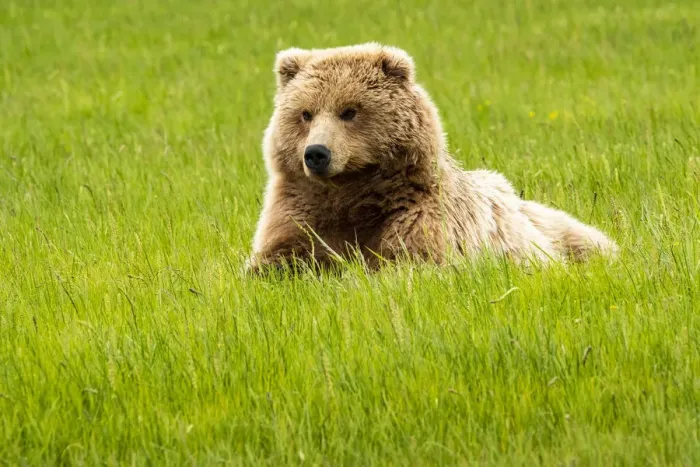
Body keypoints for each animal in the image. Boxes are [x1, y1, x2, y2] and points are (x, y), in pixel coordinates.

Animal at [248, 43, 617, 272]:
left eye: (349, 111)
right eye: (305, 113)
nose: (316, 153)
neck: (352, 193)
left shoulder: (421, 217)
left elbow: (411, 262)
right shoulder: (301, 211)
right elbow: (278, 258)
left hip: (551, 233)